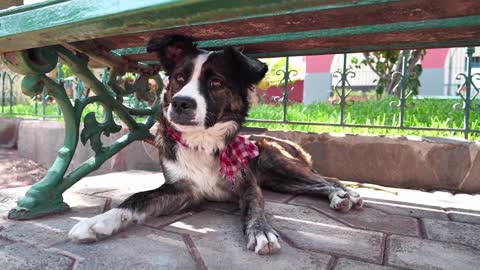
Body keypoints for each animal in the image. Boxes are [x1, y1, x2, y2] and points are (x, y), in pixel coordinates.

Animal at [66, 35, 360, 255]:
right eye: (179, 78)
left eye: (216, 82)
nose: (180, 103)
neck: (203, 142)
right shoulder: (182, 190)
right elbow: (136, 198)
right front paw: (97, 222)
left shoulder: (248, 185)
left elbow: (254, 207)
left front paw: (261, 231)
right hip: (280, 182)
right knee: (313, 185)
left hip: (279, 164)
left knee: (327, 179)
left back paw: (345, 194)